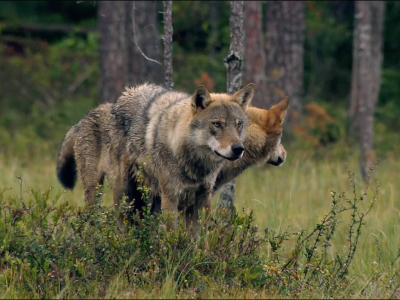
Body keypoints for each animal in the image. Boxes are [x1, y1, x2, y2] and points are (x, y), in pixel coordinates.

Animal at [55, 83, 253, 231]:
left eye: (238, 124)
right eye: (217, 124)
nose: (238, 149)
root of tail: (83, 119)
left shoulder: (202, 198)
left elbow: (199, 240)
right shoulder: (171, 196)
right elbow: (173, 235)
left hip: (146, 197)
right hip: (112, 190)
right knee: (104, 222)